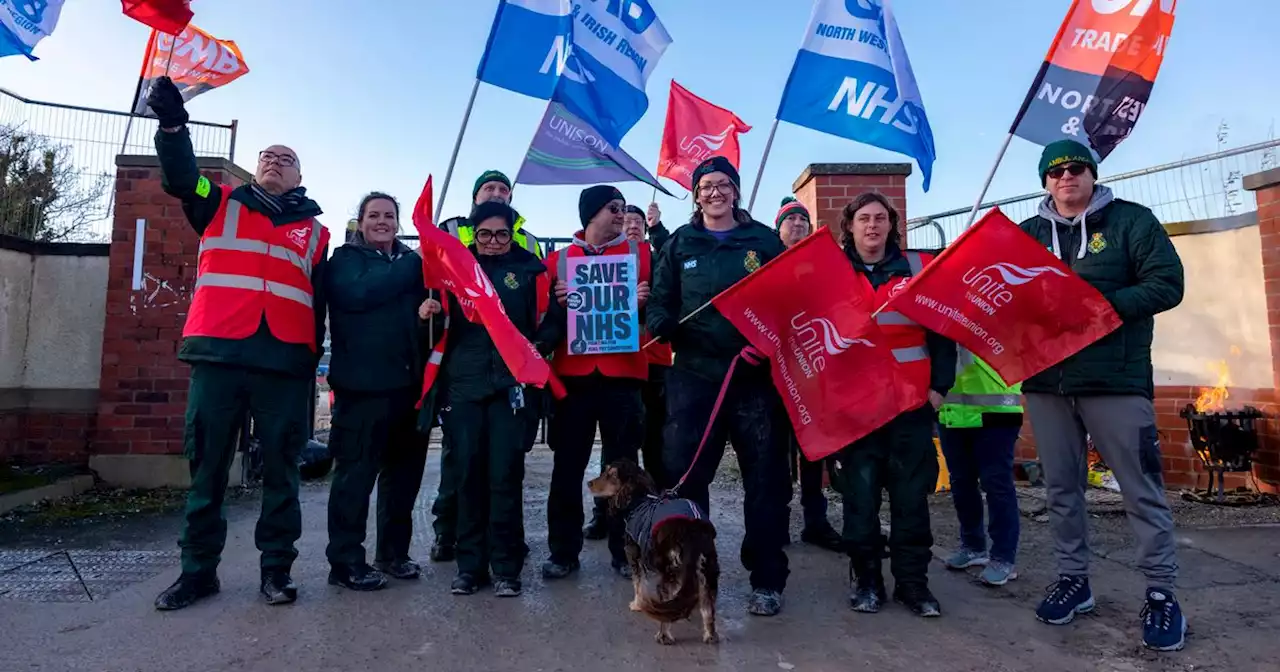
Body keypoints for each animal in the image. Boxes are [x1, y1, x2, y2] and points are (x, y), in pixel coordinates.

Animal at [588, 458, 721, 642]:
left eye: (611, 474)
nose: (589, 483)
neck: (639, 500)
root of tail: (691, 531)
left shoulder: (633, 553)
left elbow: (638, 583)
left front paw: (637, 604)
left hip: (670, 571)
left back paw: (663, 635)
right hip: (707, 573)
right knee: (707, 610)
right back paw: (710, 635)